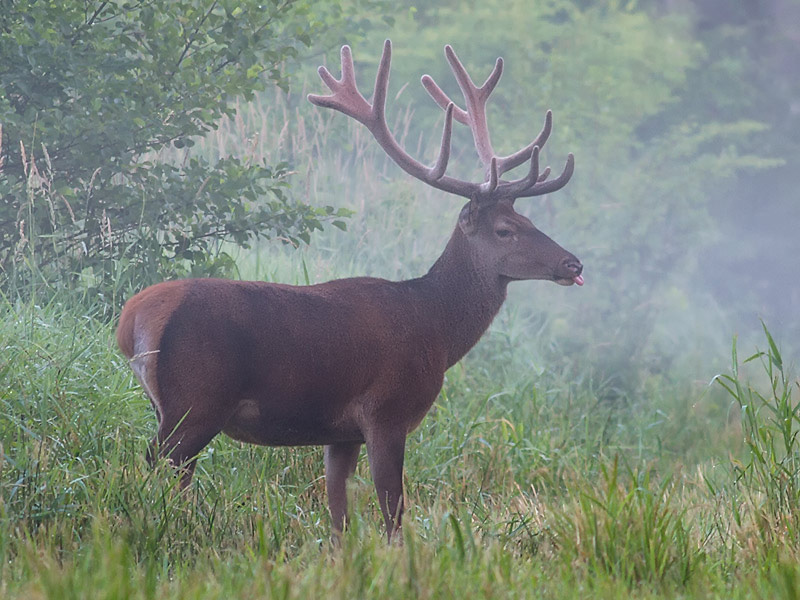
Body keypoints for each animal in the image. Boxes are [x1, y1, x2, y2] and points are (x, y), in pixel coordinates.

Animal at [115, 39, 580, 540]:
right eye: (505, 230)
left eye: (527, 219)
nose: (573, 263)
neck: (436, 328)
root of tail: (131, 320)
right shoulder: (386, 410)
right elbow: (393, 512)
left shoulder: (341, 434)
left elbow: (339, 517)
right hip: (196, 399)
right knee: (156, 464)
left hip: (169, 404)